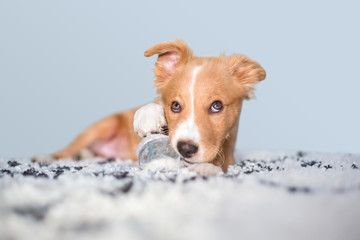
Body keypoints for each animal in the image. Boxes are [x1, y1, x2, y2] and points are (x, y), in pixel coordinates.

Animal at [35, 39, 266, 174]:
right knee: (67, 150)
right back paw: (48, 157)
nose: (185, 148)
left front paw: (205, 168)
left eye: (217, 106)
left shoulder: (229, 154)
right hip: (103, 126)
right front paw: (147, 116)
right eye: (175, 106)